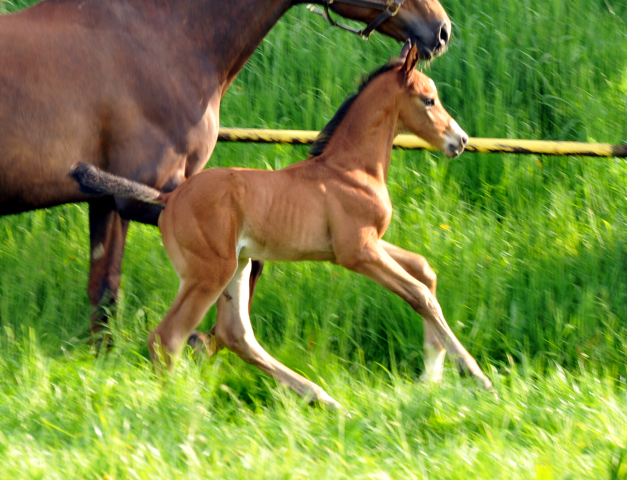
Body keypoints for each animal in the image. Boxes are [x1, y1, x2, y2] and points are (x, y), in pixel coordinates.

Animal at [0, 0, 452, 338]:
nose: (442, 29)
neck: (161, 39)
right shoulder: (148, 195)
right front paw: (210, 342)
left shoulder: (111, 200)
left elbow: (104, 293)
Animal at [73, 43, 494, 406]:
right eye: (429, 99)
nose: (460, 139)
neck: (349, 168)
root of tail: (169, 198)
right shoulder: (358, 252)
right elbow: (419, 293)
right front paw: (476, 375)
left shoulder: (366, 244)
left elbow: (425, 271)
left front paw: (432, 375)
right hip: (208, 273)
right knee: (168, 337)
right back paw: (174, 407)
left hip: (238, 266)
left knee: (236, 335)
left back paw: (323, 399)